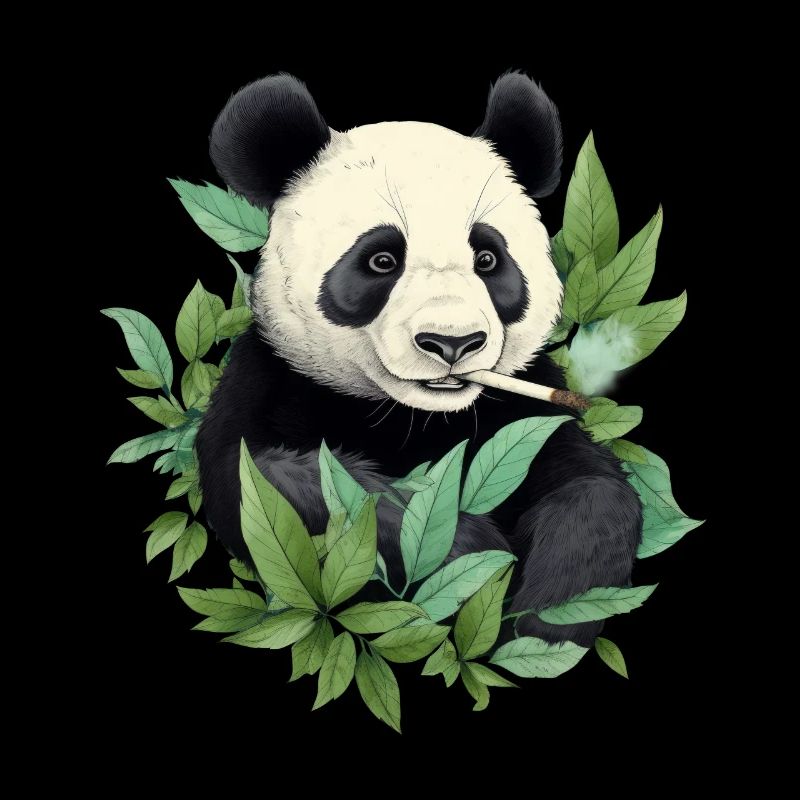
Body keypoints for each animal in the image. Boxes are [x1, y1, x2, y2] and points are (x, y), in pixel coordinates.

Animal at [197, 72, 642, 646]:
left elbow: (591, 485)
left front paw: (547, 620)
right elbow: (270, 476)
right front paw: (475, 559)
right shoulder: (273, 377)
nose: (452, 343)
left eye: (488, 258)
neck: (414, 415)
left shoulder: (521, 406)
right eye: (381, 260)